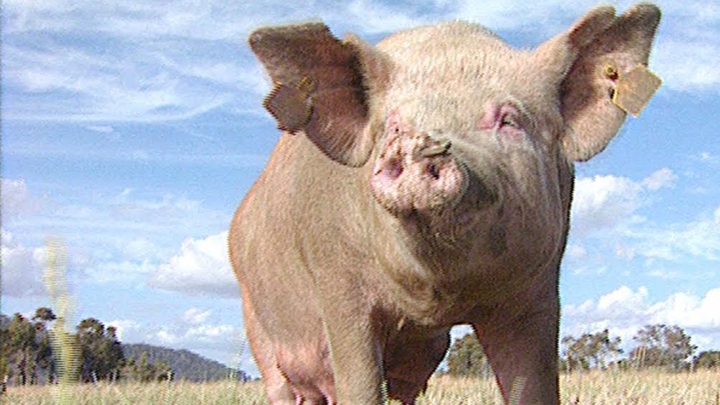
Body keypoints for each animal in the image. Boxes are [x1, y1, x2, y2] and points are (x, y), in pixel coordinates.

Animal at [229, 4, 661, 404]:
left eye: (509, 119)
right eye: (393, 126)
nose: (424, 143)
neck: (439, 300)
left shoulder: (538, 287)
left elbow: (533, 386)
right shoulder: (337, 282)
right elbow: (360, 386)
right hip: (258, 328)